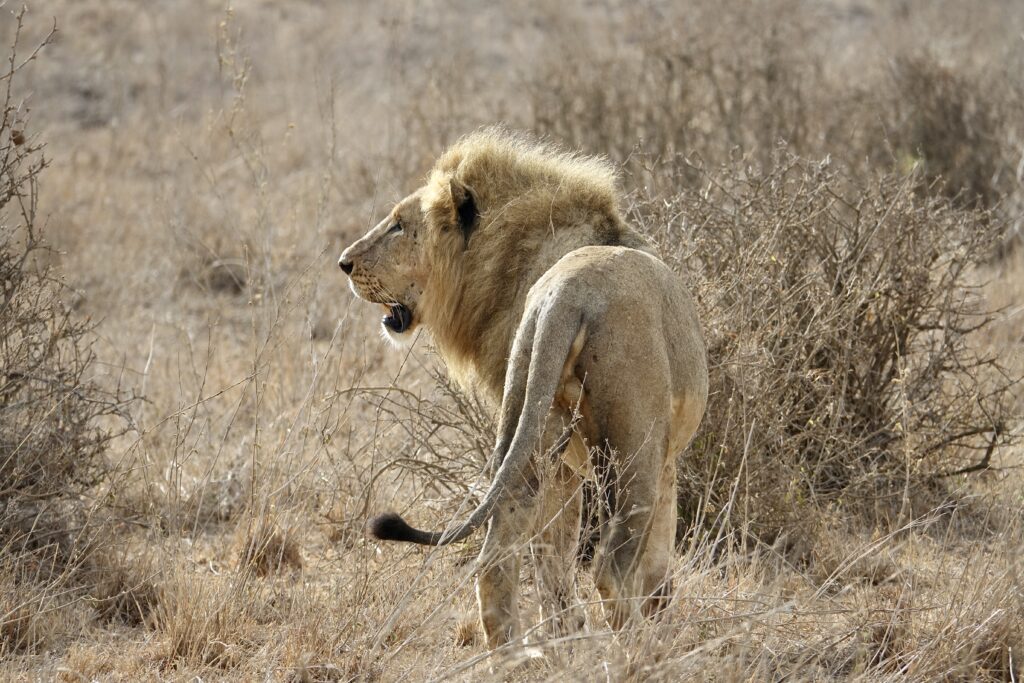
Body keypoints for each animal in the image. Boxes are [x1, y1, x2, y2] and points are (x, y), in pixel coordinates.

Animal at [339, 127, 708, 647]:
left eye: (397, 226)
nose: (343, 263)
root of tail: (566, 295)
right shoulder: (652, 460)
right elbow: (647, 565)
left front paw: (569, 634)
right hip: (632, 450)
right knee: (611, 569)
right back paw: (637, 651)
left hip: (526, 433)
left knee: (494, 561)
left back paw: (524, 654)